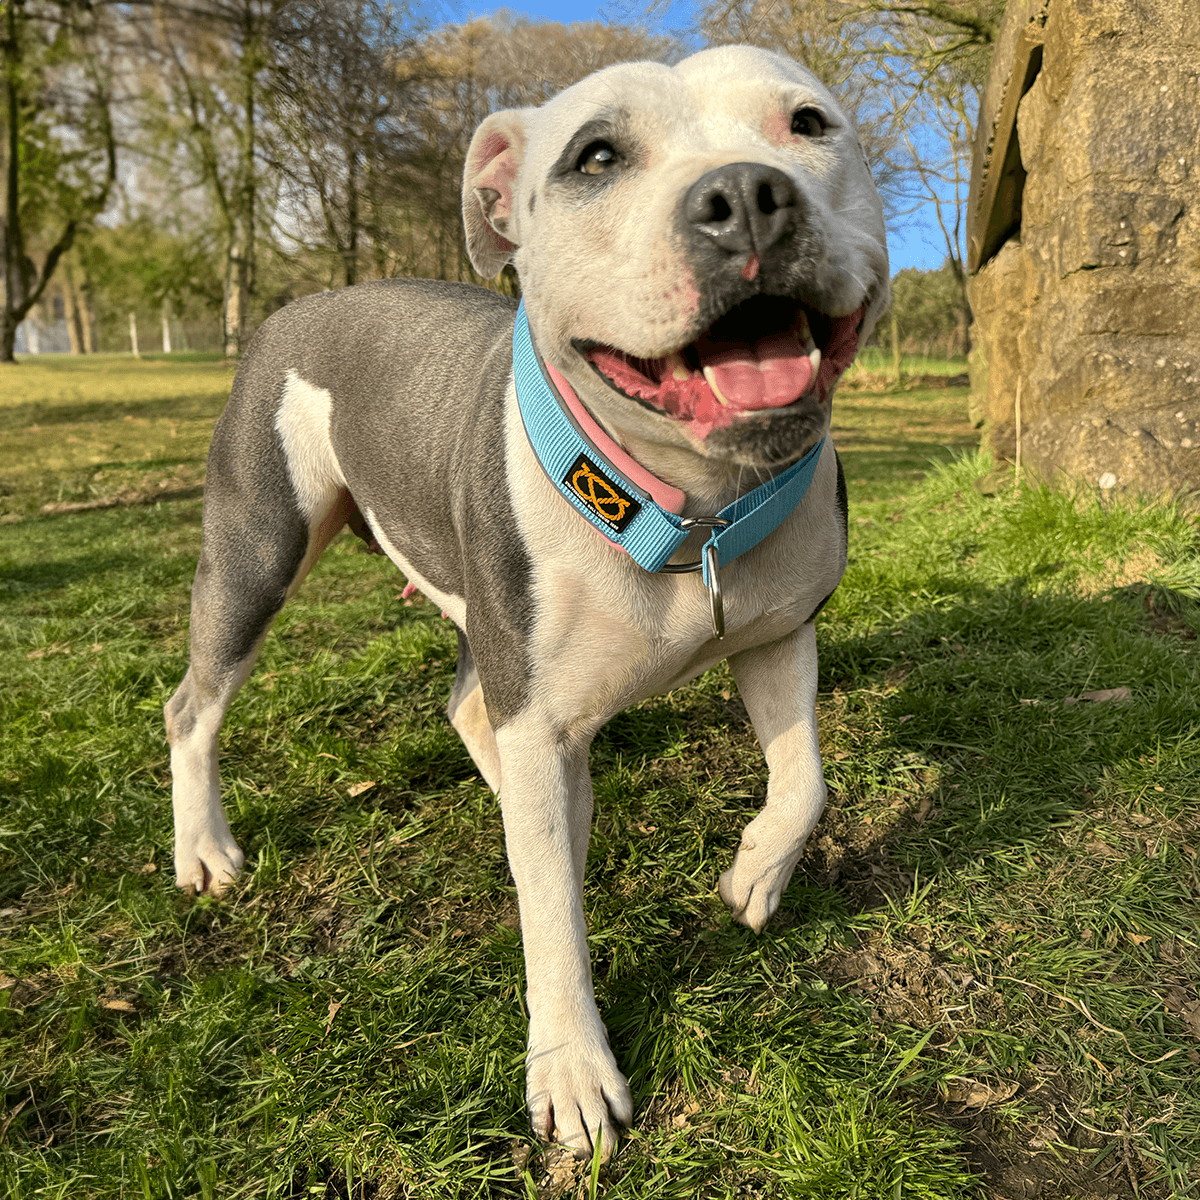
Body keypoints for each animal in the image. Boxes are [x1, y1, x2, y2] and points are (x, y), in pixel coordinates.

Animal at [164, 46, 888, 1161]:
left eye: (808, 123)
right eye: (596, 157)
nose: (747, 195)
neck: (693, 505)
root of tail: (302, 304)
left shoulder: (779, 637)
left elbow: (804, 781)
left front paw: (756, 876)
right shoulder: (540, 704)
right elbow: (550, 915)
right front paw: (574, 1071)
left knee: (470, 707)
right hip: (257, 553)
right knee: (194, 705)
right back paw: (203, 849)